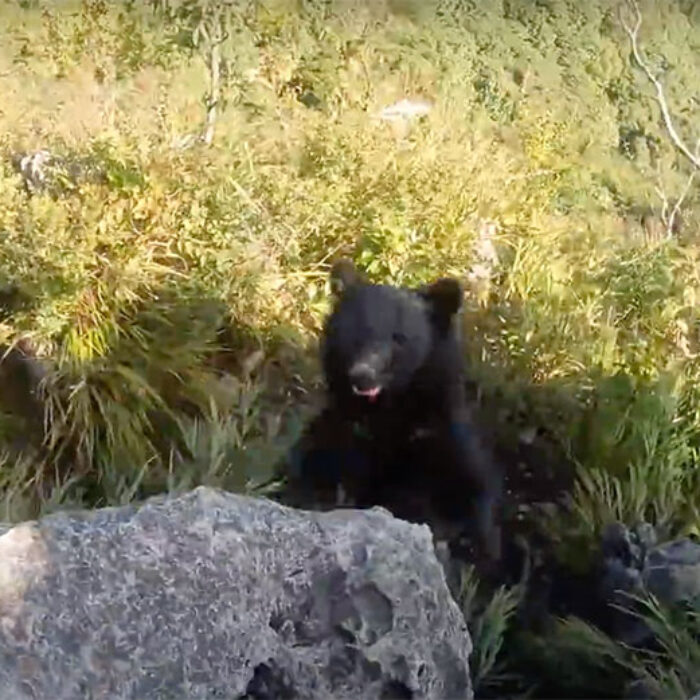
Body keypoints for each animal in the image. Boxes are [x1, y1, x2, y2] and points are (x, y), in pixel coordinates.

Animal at [280, 259, 502, 564]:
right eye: (357, 331)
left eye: (400, 338)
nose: (363, 376)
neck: (388, 410)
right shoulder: (344, 436)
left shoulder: (440, 439)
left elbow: (470, 493)